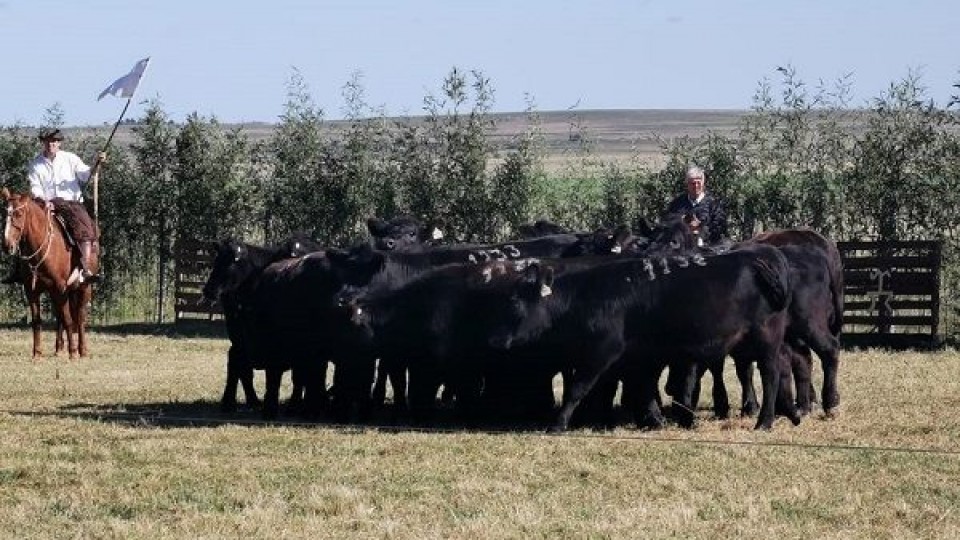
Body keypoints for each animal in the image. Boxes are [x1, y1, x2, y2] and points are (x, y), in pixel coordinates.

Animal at [2, 187, 95, 358]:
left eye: (19, 214)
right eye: (5, 213)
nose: (6, 245)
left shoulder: (61, 287)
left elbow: (69, 320)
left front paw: (73, 353)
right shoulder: (32, 290)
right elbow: (37, 320)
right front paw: (37, 353)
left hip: (84, 287)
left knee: (79, 316)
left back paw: (82, 350)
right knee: (60, 317)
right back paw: (59, 349)